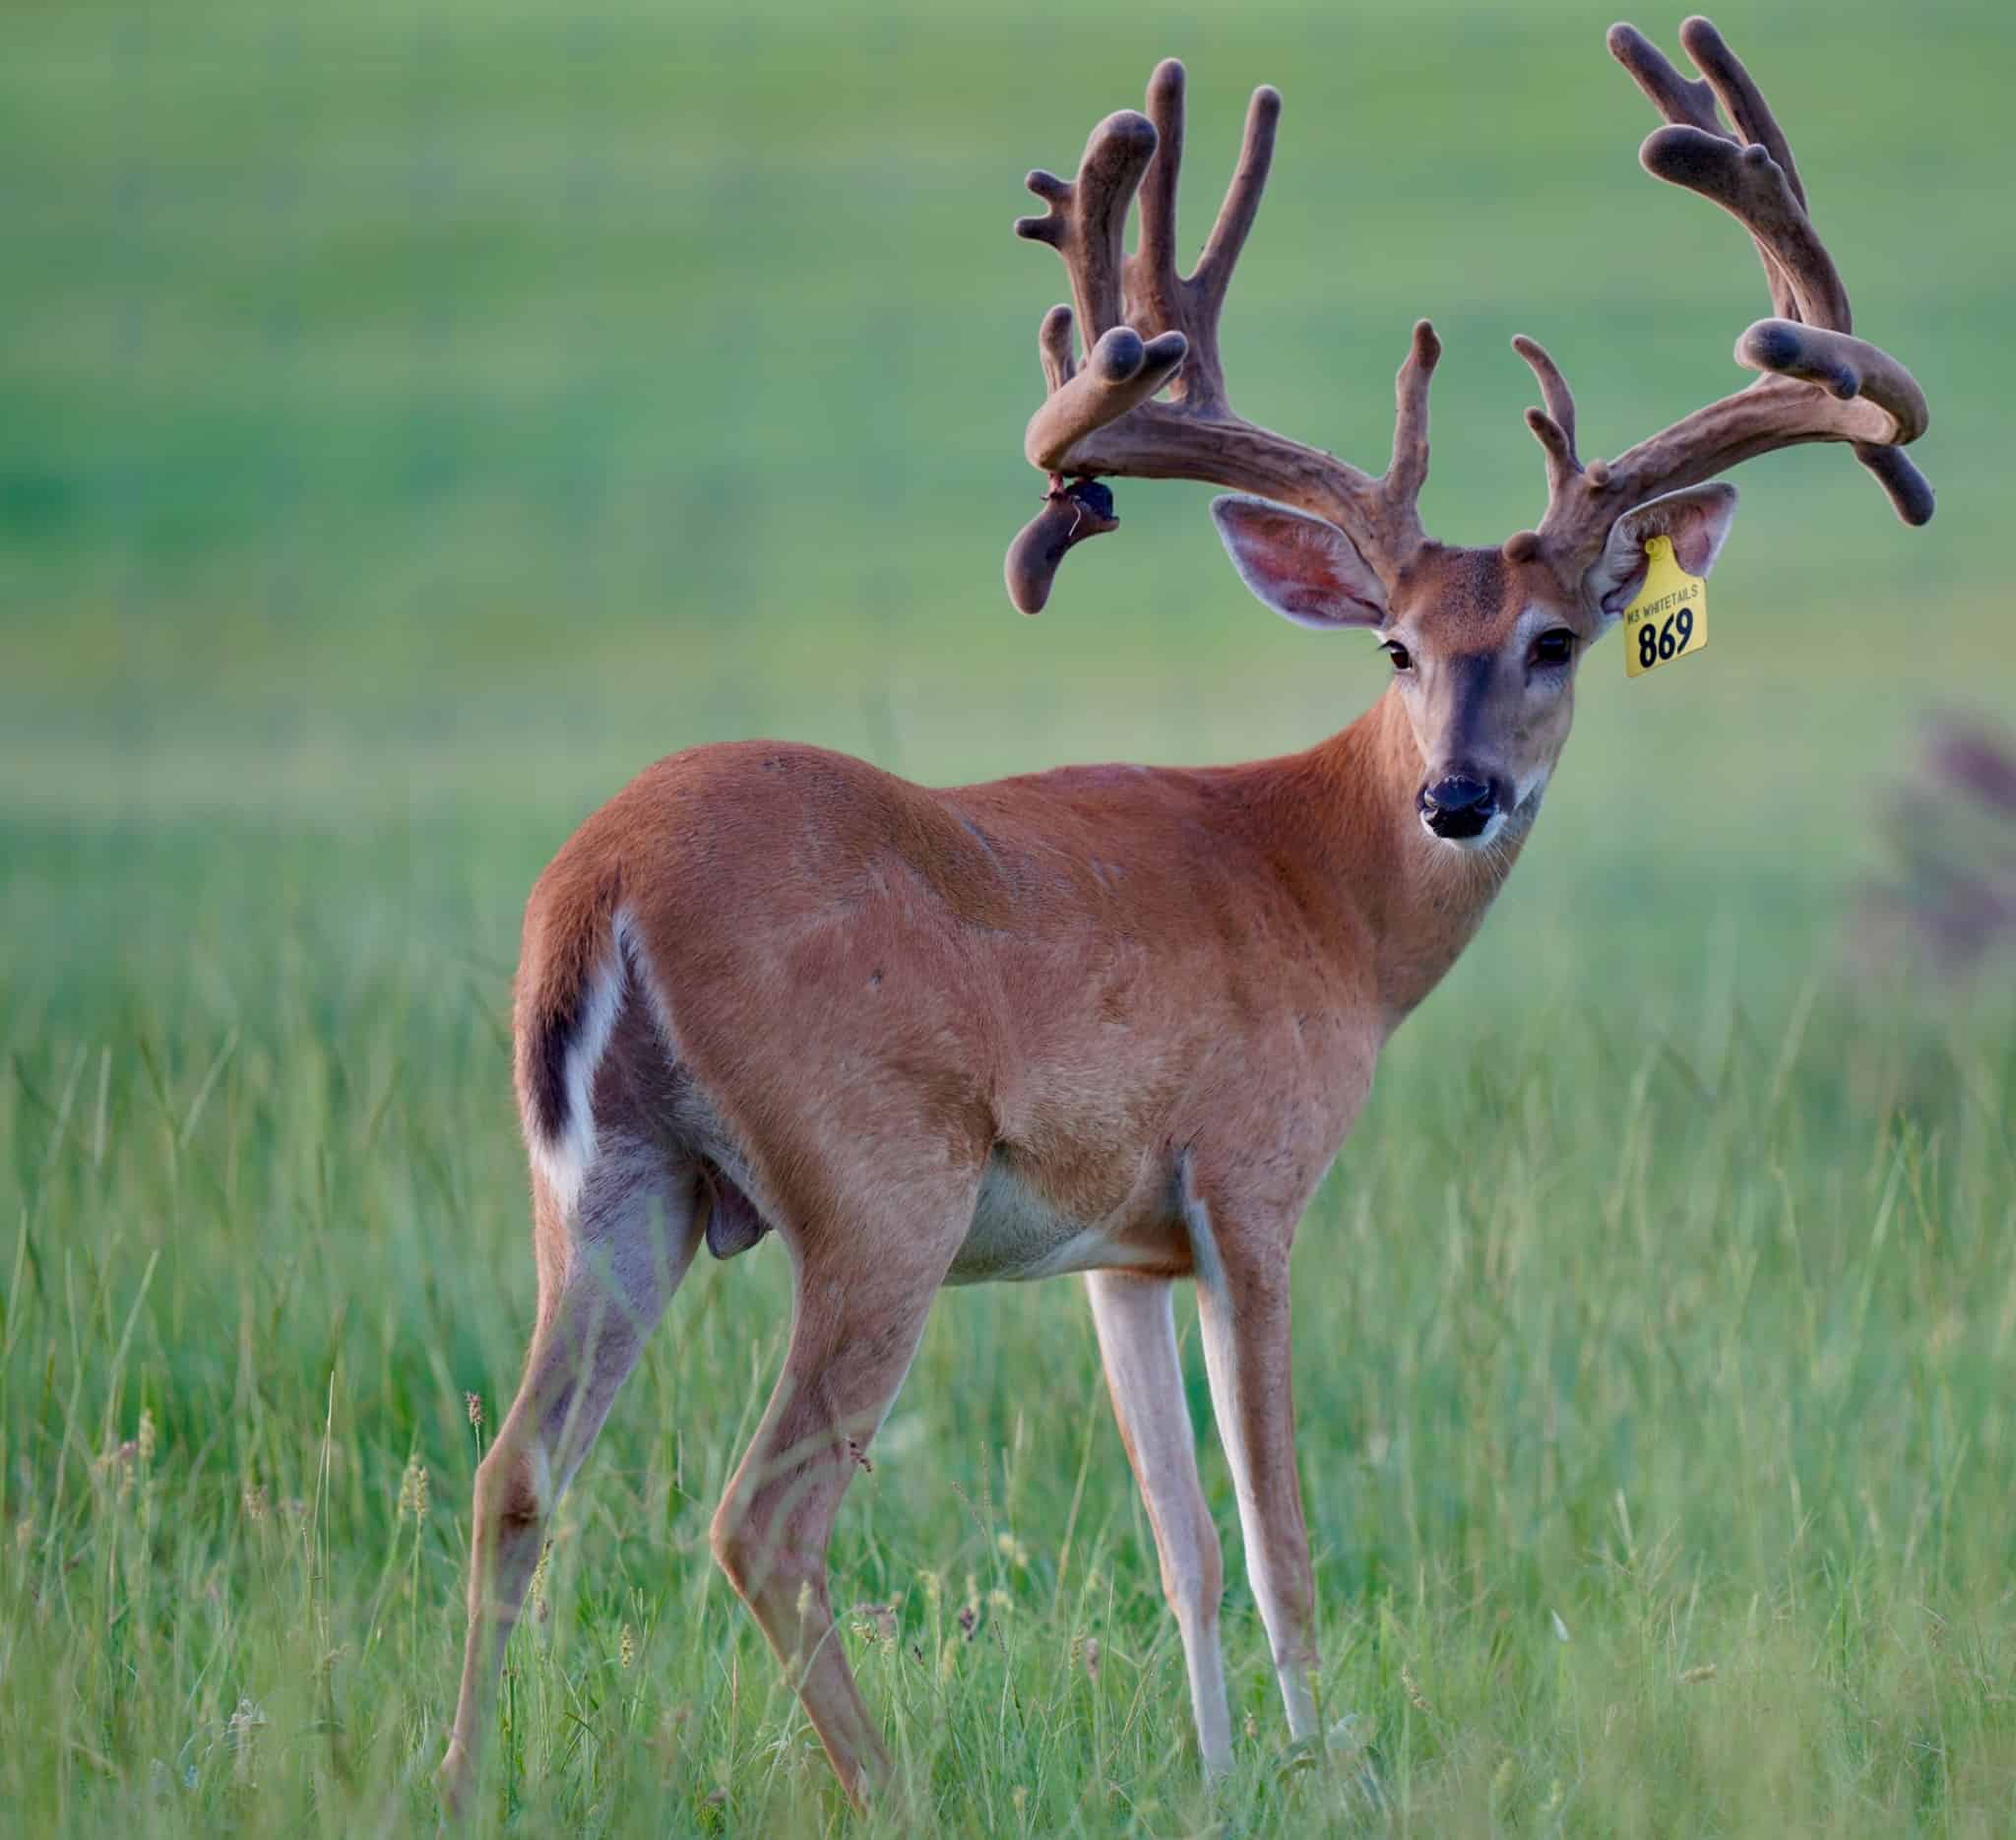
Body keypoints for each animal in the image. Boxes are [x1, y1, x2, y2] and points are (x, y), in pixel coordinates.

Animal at [439, 16, 1932, 1811]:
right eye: (1396, 648)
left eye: (1557, 638)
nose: (1457, 796)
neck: (1319, 890)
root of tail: (598, 883)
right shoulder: (1249, 1176)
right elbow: (1279, 1536)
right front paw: (1327, 1764)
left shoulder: (1115, 1245)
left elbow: (1182, 1543)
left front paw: (1221, 1774)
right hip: (876, 1182)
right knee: (762, 1511)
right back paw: (899, 1791)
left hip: (611, 1185)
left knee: (512, 1473)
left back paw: (448, 1785)